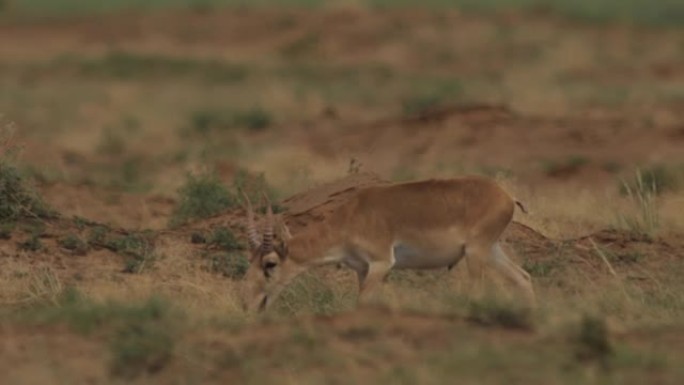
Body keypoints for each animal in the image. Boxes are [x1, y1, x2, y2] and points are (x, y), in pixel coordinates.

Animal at [239, 175, 536, 312]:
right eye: (249, 262)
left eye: (270, 263)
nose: (251, 304)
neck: (352, 215)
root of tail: (507, 196)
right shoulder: (362, 269)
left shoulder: (381, 264)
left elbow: (362, 303)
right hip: (492, 251)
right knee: (523, 277)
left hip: (476, 254)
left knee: (478, 290)